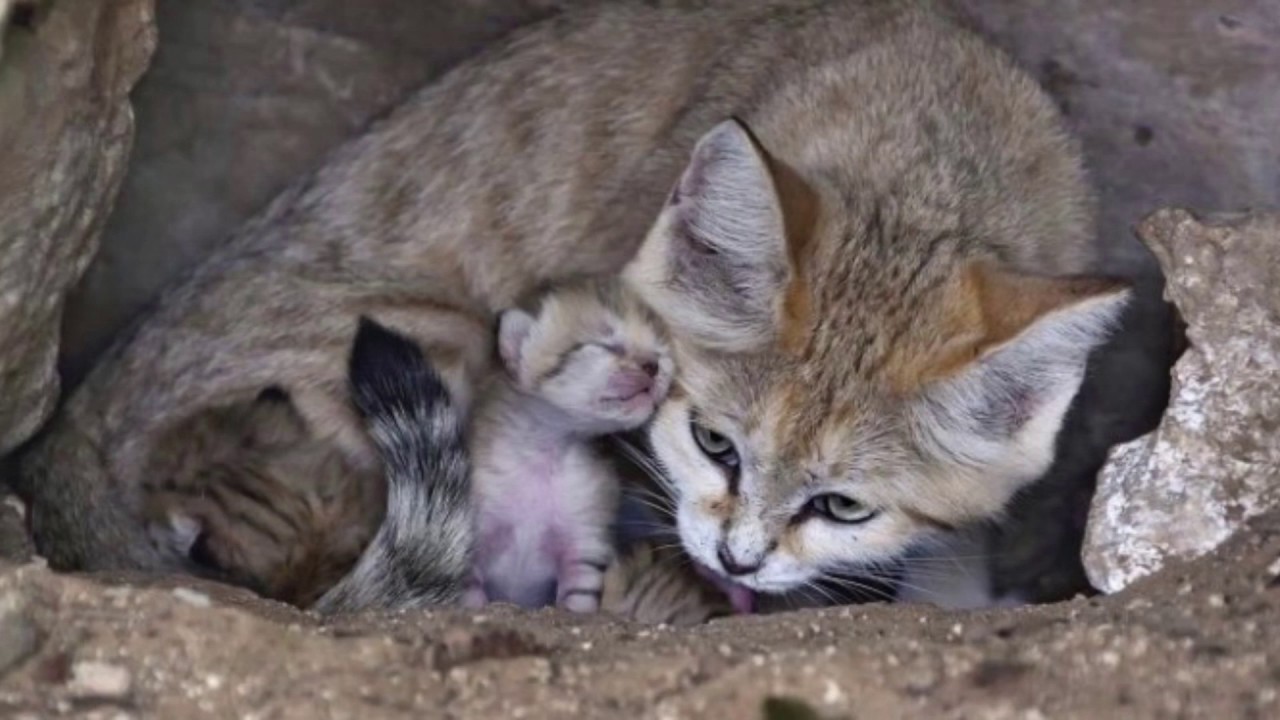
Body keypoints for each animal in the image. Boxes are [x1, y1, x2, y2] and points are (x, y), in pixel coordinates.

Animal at [465, 279, 675, 609]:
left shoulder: (583, 548)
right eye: (607, 344)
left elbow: (577, 602)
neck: (546, 454)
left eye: (661, 351)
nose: (652, 365)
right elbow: (469, 594)